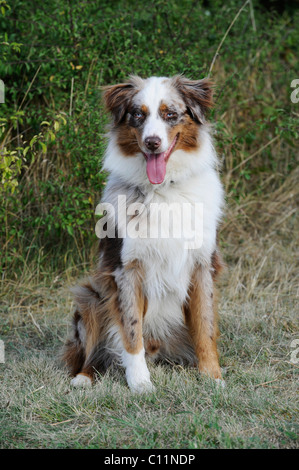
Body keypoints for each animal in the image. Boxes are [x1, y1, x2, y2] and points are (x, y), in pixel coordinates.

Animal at [63, 75, 227, 392]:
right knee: (91, 350)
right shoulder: (126, 269)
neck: (164, 189)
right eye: (138, 115)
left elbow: (205, 326)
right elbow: (131, 330)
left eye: (170, 114)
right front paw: (140, 383)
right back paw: (83, 378)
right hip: (91, 297)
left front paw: (212, 377)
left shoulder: (202, 265)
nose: (152, 143)